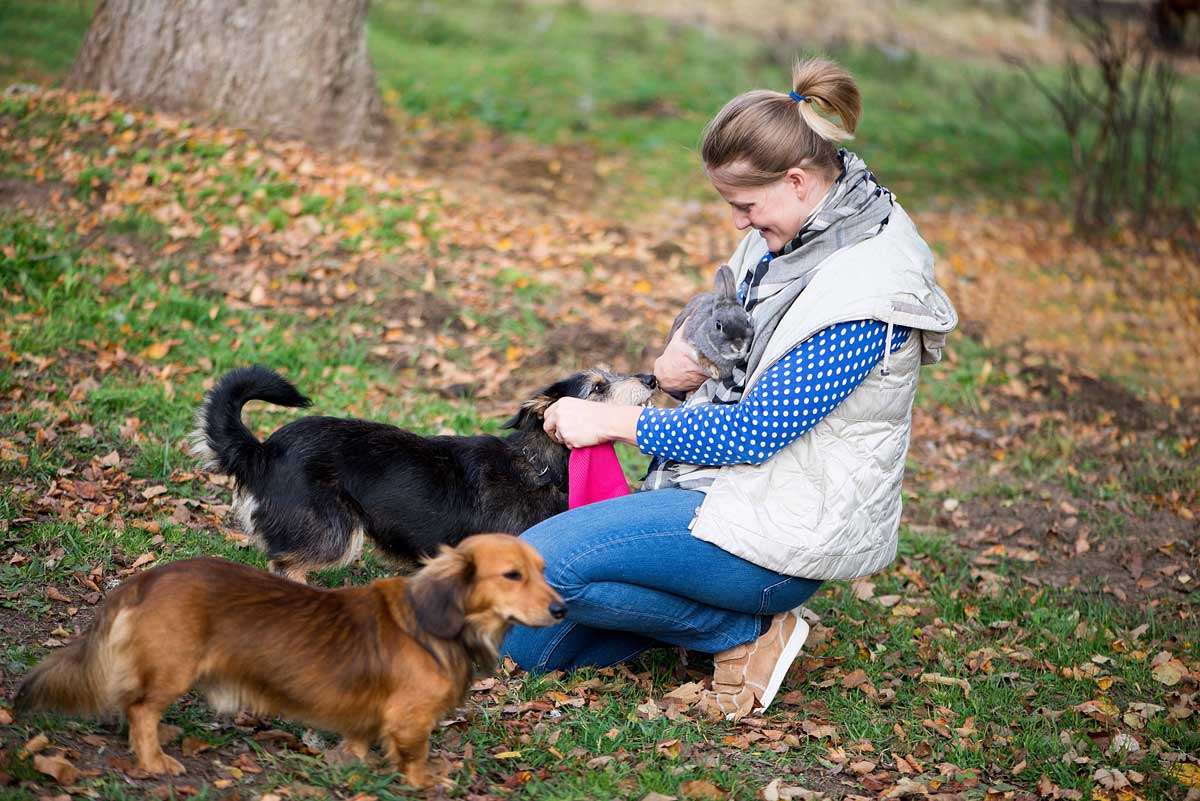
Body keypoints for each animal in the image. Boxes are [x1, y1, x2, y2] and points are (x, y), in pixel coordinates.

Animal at [193, 364, 657, 582]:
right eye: (598, 387)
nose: (653, 377)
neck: (537, 464)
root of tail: (263, 451)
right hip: (335, 534)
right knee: (284, 565)